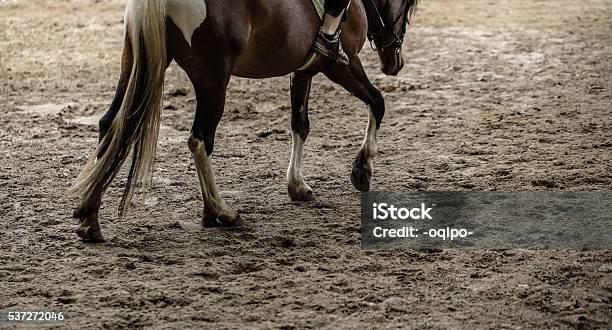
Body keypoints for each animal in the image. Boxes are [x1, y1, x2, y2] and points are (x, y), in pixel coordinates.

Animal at [69, 0, 418, 241]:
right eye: (409, 7)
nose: (395, 63)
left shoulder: (304, 70)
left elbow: (300, 125)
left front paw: (298, 186)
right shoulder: (341, 65)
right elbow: (378, 102)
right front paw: (362, 169)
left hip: (134, 62)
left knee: (110, 125)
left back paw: (89, 218)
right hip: (212, 80)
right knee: (199, 139)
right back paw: (219, 212)